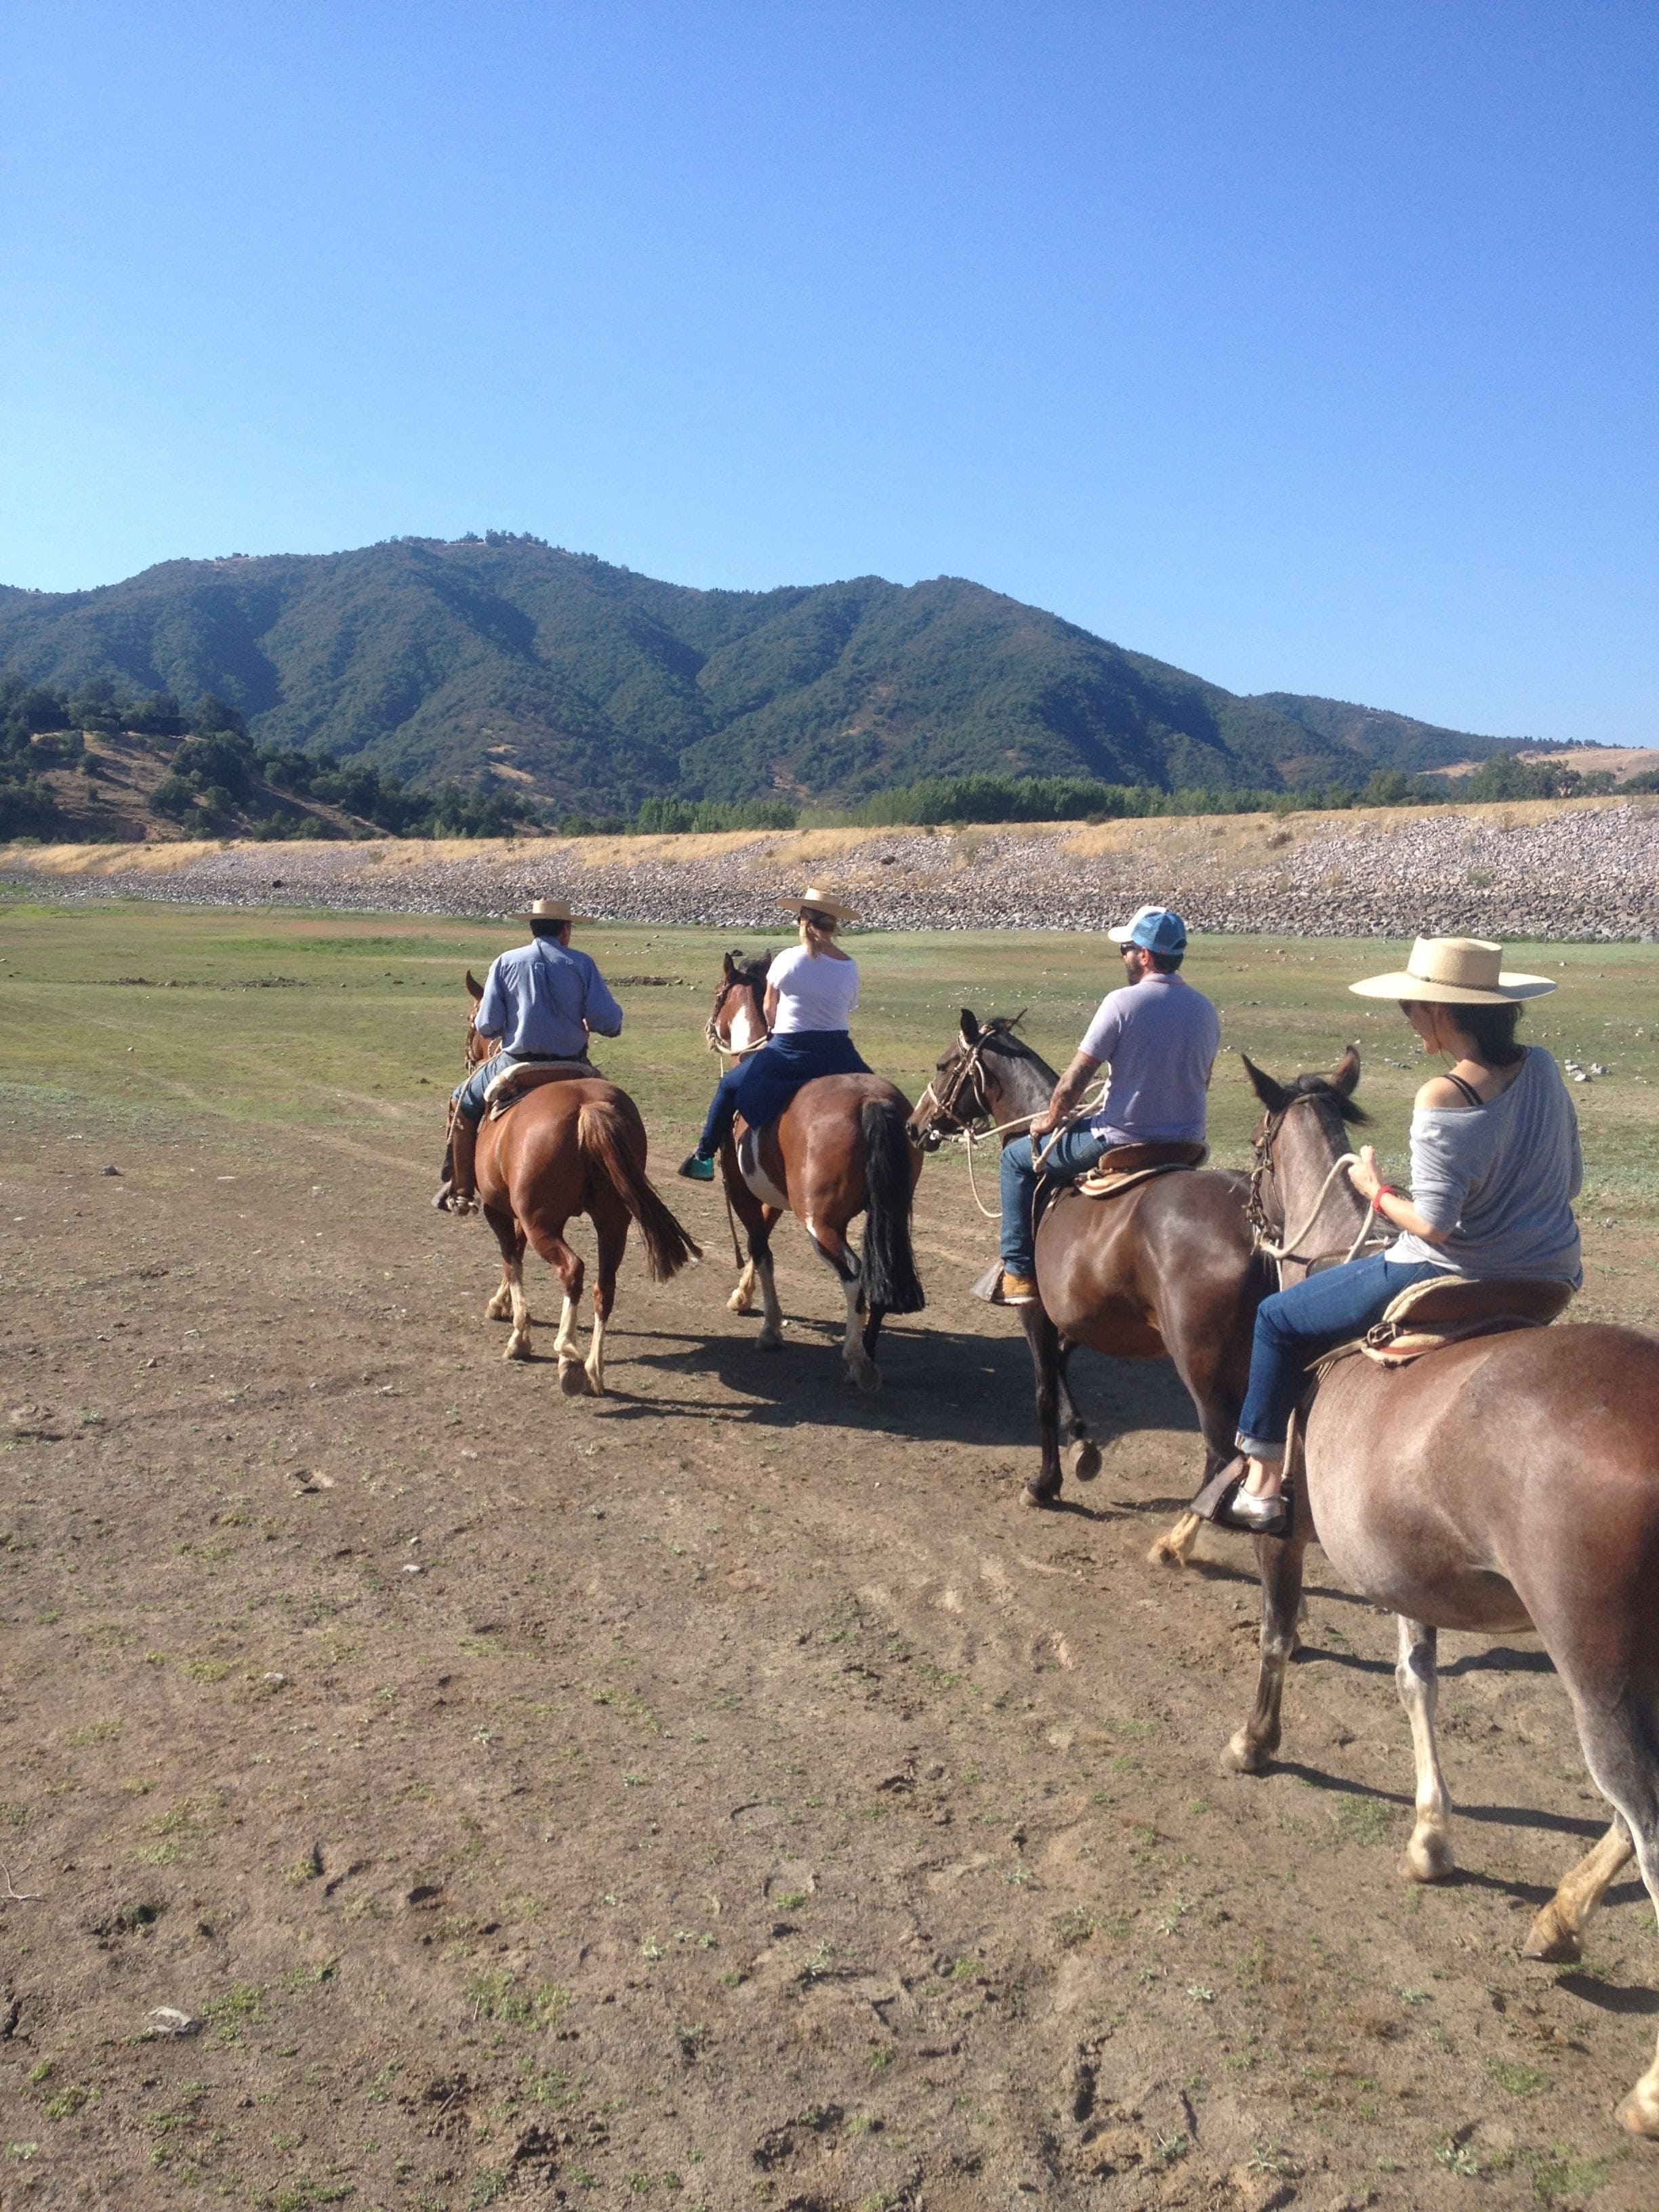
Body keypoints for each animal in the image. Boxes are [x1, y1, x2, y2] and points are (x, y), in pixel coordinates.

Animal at [445, 970, 699, 1395]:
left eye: (471, 1019)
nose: (468, 1057)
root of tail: (587, 1108)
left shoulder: (500, 1209)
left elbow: (511, 1257)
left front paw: (519, 1334)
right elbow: (515, 1256)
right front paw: (503, 1305)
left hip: (544, 1223)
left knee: (572, 1271)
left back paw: (568, 1356)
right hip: (613, 1220)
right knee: (604, 1286)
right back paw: (594, 1369)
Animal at [701, 953, 925, 1392]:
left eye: (718, 994)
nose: (708, 1029)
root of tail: (871, 1101)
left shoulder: (742, 1190)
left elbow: (760, 1249)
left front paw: (770, 1329)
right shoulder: (773, 1193)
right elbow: (760, 1242)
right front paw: (743, 1296)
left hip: (819, 1223)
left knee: (855, 1275)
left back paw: (855, 1358)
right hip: (886, 1212)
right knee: (880, 1274)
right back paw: (868, 1351)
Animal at [908, 1012, 1271, 1510]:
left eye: (944, 1065)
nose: (914, 1125)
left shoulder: (1036, 1310)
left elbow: (1043, 1388)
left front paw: (1045, 1482)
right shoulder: (1083, 1312)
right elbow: (1061, 1363)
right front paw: (1081, 1443)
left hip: (1207, 1370)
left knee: (1222, 1451)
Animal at [1221, 1046, 1659, 2139]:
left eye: (1255, 1145)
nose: (1243, 1207)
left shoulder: (1288, 1531)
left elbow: (1278, 1634)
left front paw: (1255, 1744)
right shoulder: (1408, 1564)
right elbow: (1417, 1682)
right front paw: (1430, 1837)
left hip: (1597, 1667)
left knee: (1647, 1823)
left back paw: (1646, 2092)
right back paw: (1556, 1922)